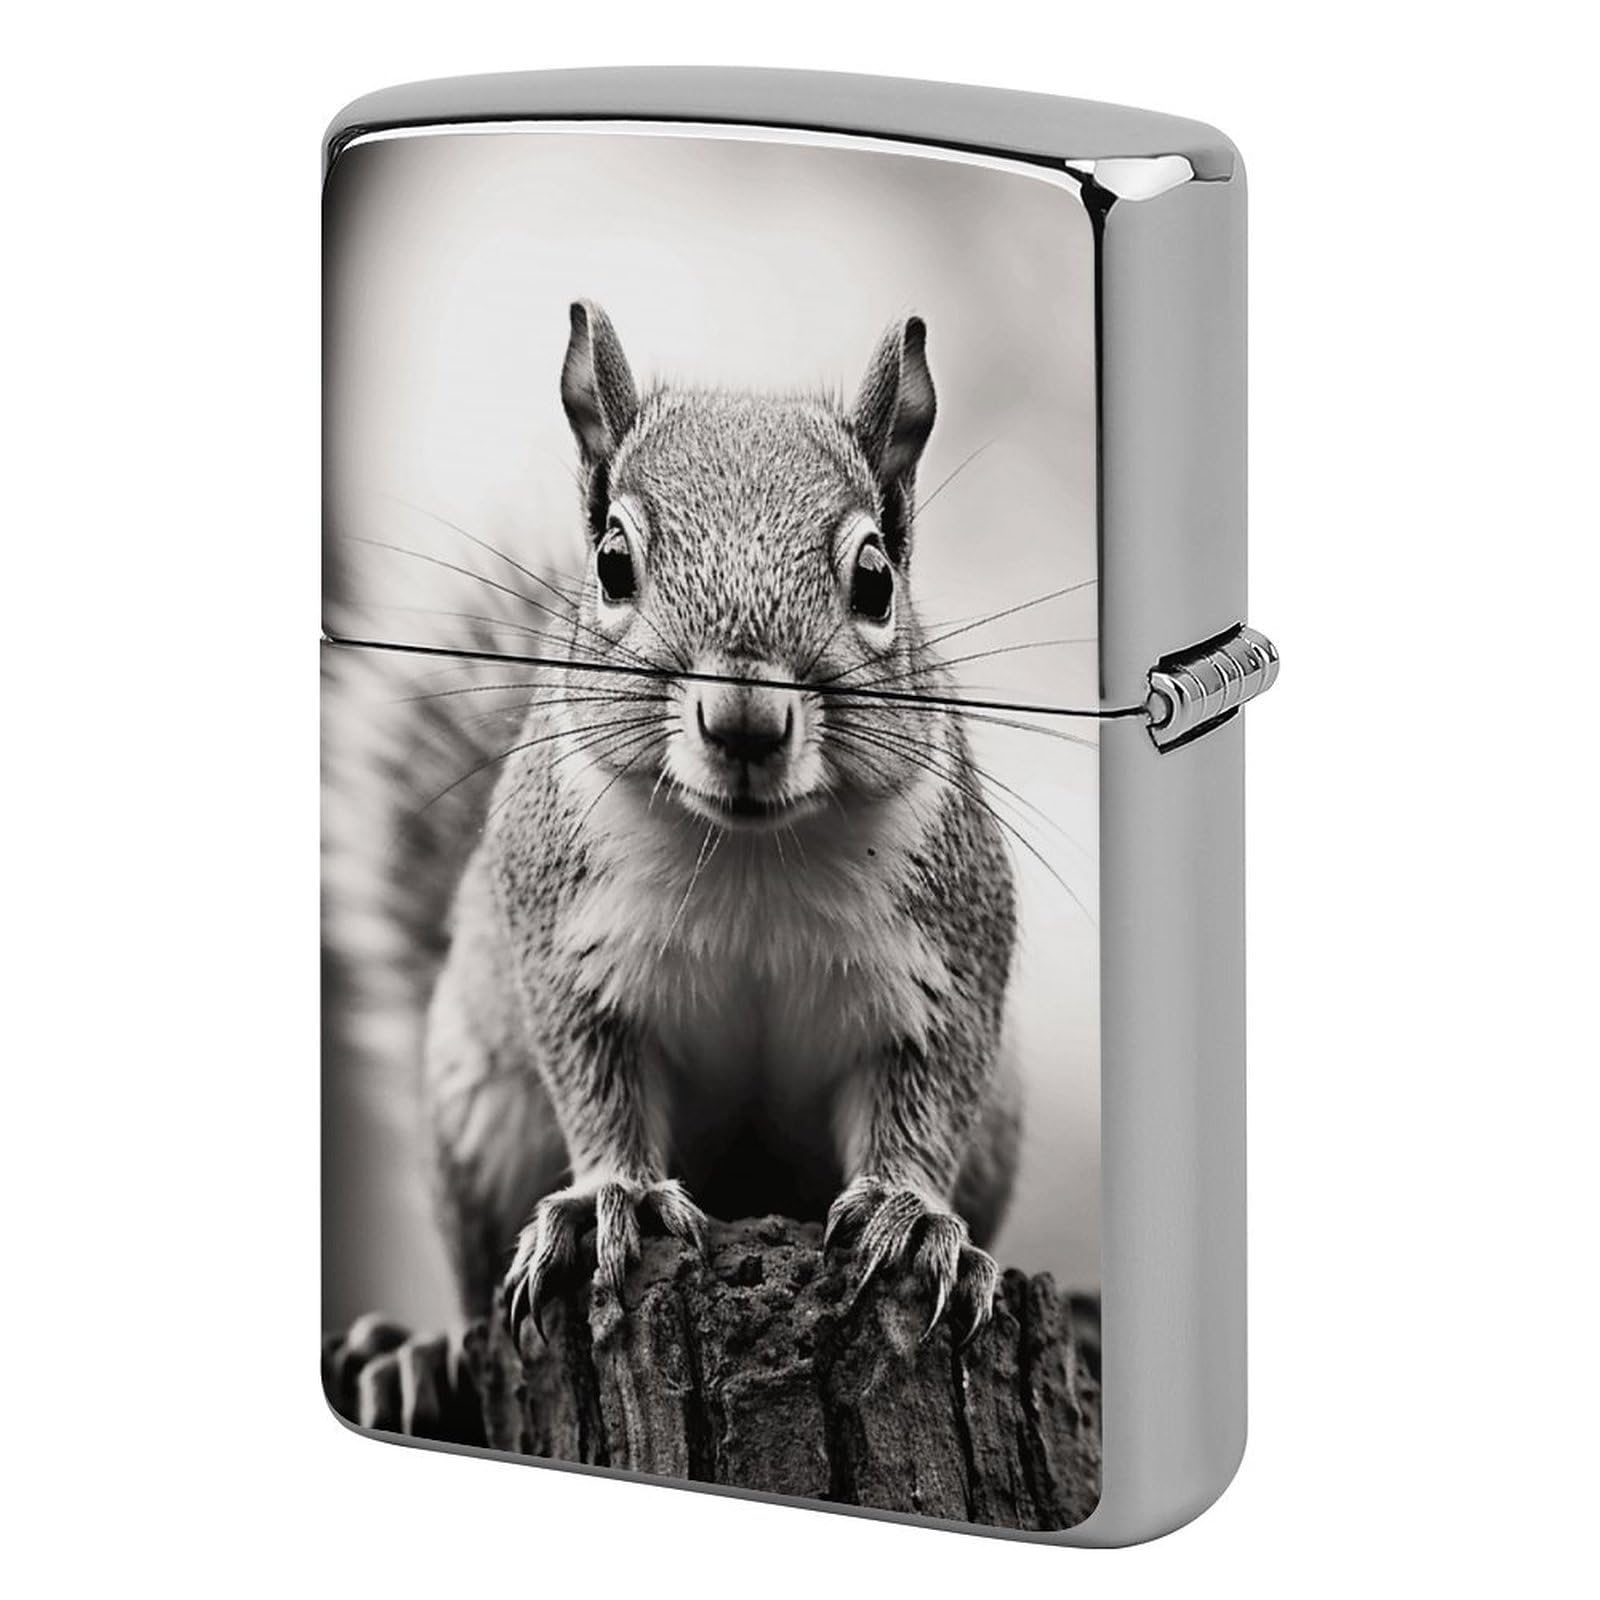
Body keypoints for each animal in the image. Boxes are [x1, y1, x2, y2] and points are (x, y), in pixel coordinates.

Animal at [326, 301, 1021, 1348]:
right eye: (613, 563)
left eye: (875, 577)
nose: (744, 721)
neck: (749, 854)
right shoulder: (563, 946)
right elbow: (596, 1086)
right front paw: (614, 1199)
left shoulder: (952, 958)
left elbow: (930, 1097)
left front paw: (911, 1219)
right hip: (477, 1104)